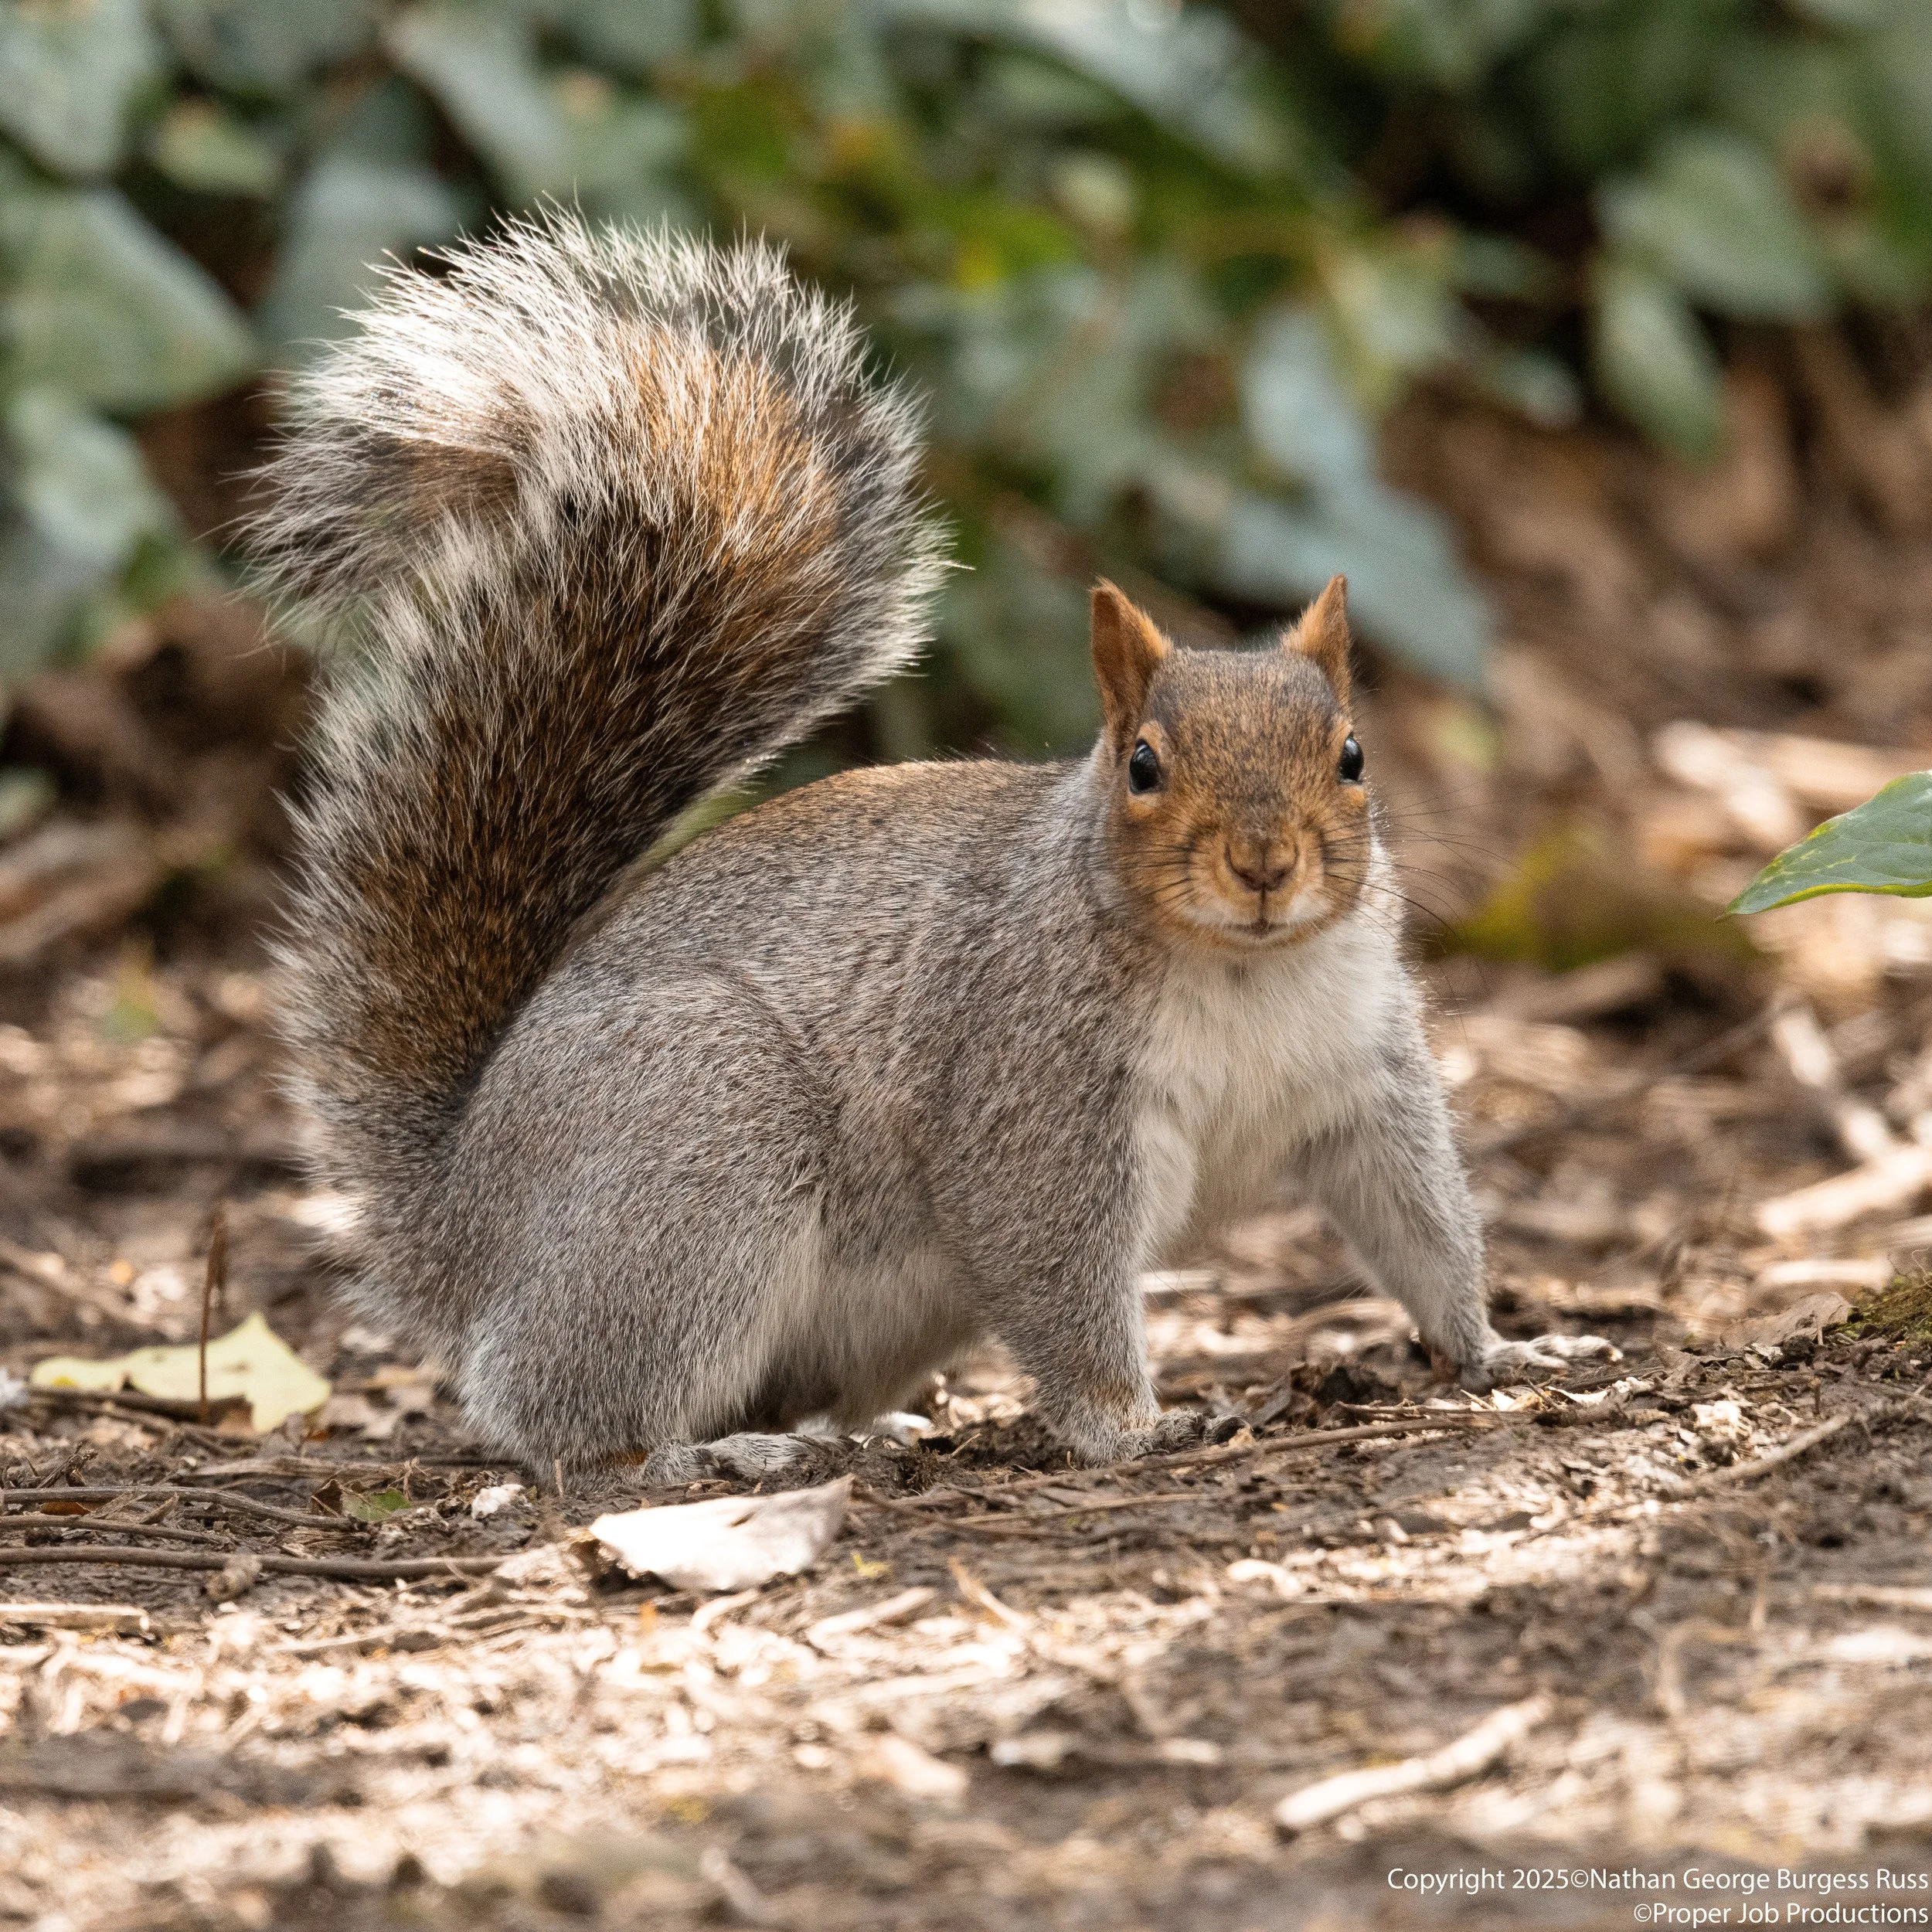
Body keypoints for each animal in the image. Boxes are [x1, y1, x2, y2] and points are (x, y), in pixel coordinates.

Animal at [256, 213, 1608, 1482]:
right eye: (1143, 766)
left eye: (1353, 756)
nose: (1267, 865)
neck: (1246, 969)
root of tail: (460, 1217)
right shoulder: (1032, 1086)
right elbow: (1055, 1267)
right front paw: (1131, 1427)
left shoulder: (1361, 1074)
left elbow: (1421, 1220)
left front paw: (1502, 1348)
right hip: (698, 1148)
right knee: (559, 1408)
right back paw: (710, 1456)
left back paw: (863, 1428)